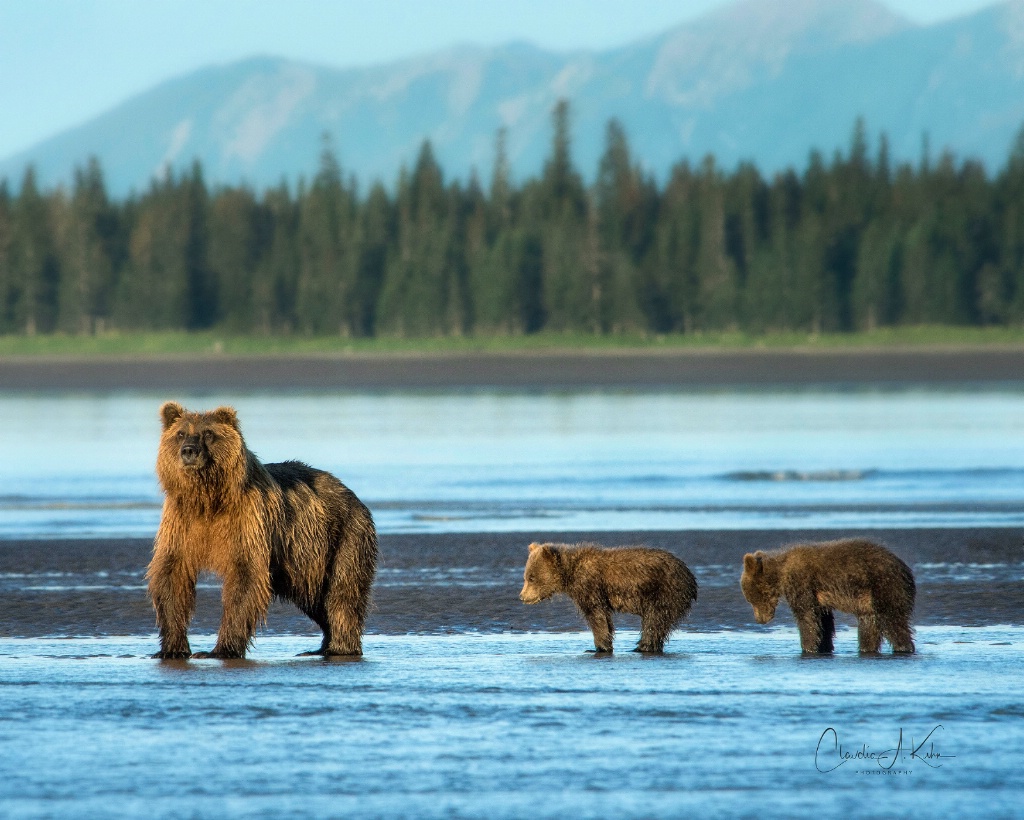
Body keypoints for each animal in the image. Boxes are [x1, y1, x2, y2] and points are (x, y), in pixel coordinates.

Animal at [146, 403, 378, 659]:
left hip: (343, 537)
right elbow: (171, 576)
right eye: (180, 434)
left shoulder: (247, 521)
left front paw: (220, 649)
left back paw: (340, 646)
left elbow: (245, 579)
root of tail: (350, 492)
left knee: (341, 593)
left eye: (208, 433)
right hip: (305, 563)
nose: (188, 451)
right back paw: (320, 647)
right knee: (316, 598)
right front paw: (171, 648)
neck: (208, 499)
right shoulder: (181, 524)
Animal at [520, 544, 696, 651]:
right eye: (526, 576)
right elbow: (605, 618)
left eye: (531, 578)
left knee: (654, 620)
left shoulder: (590, 586)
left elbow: (596, 616)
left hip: (664, 592)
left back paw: (642, 646)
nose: (522, 596)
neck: (570, 574)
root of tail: (690, 576)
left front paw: (599, 646)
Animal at [741, 536, 917, 651]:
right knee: (869, 625)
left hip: (885, 587)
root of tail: (906, 570)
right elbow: (823, 620)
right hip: (868, 601)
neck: (780, 573)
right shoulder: (818, 598)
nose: (760, 620)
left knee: (892, 621)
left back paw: (904, 647)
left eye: (751, 599)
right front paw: (824, 645)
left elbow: (806, 616)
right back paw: (866, 648)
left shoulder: (801, 583)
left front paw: (808, 647)